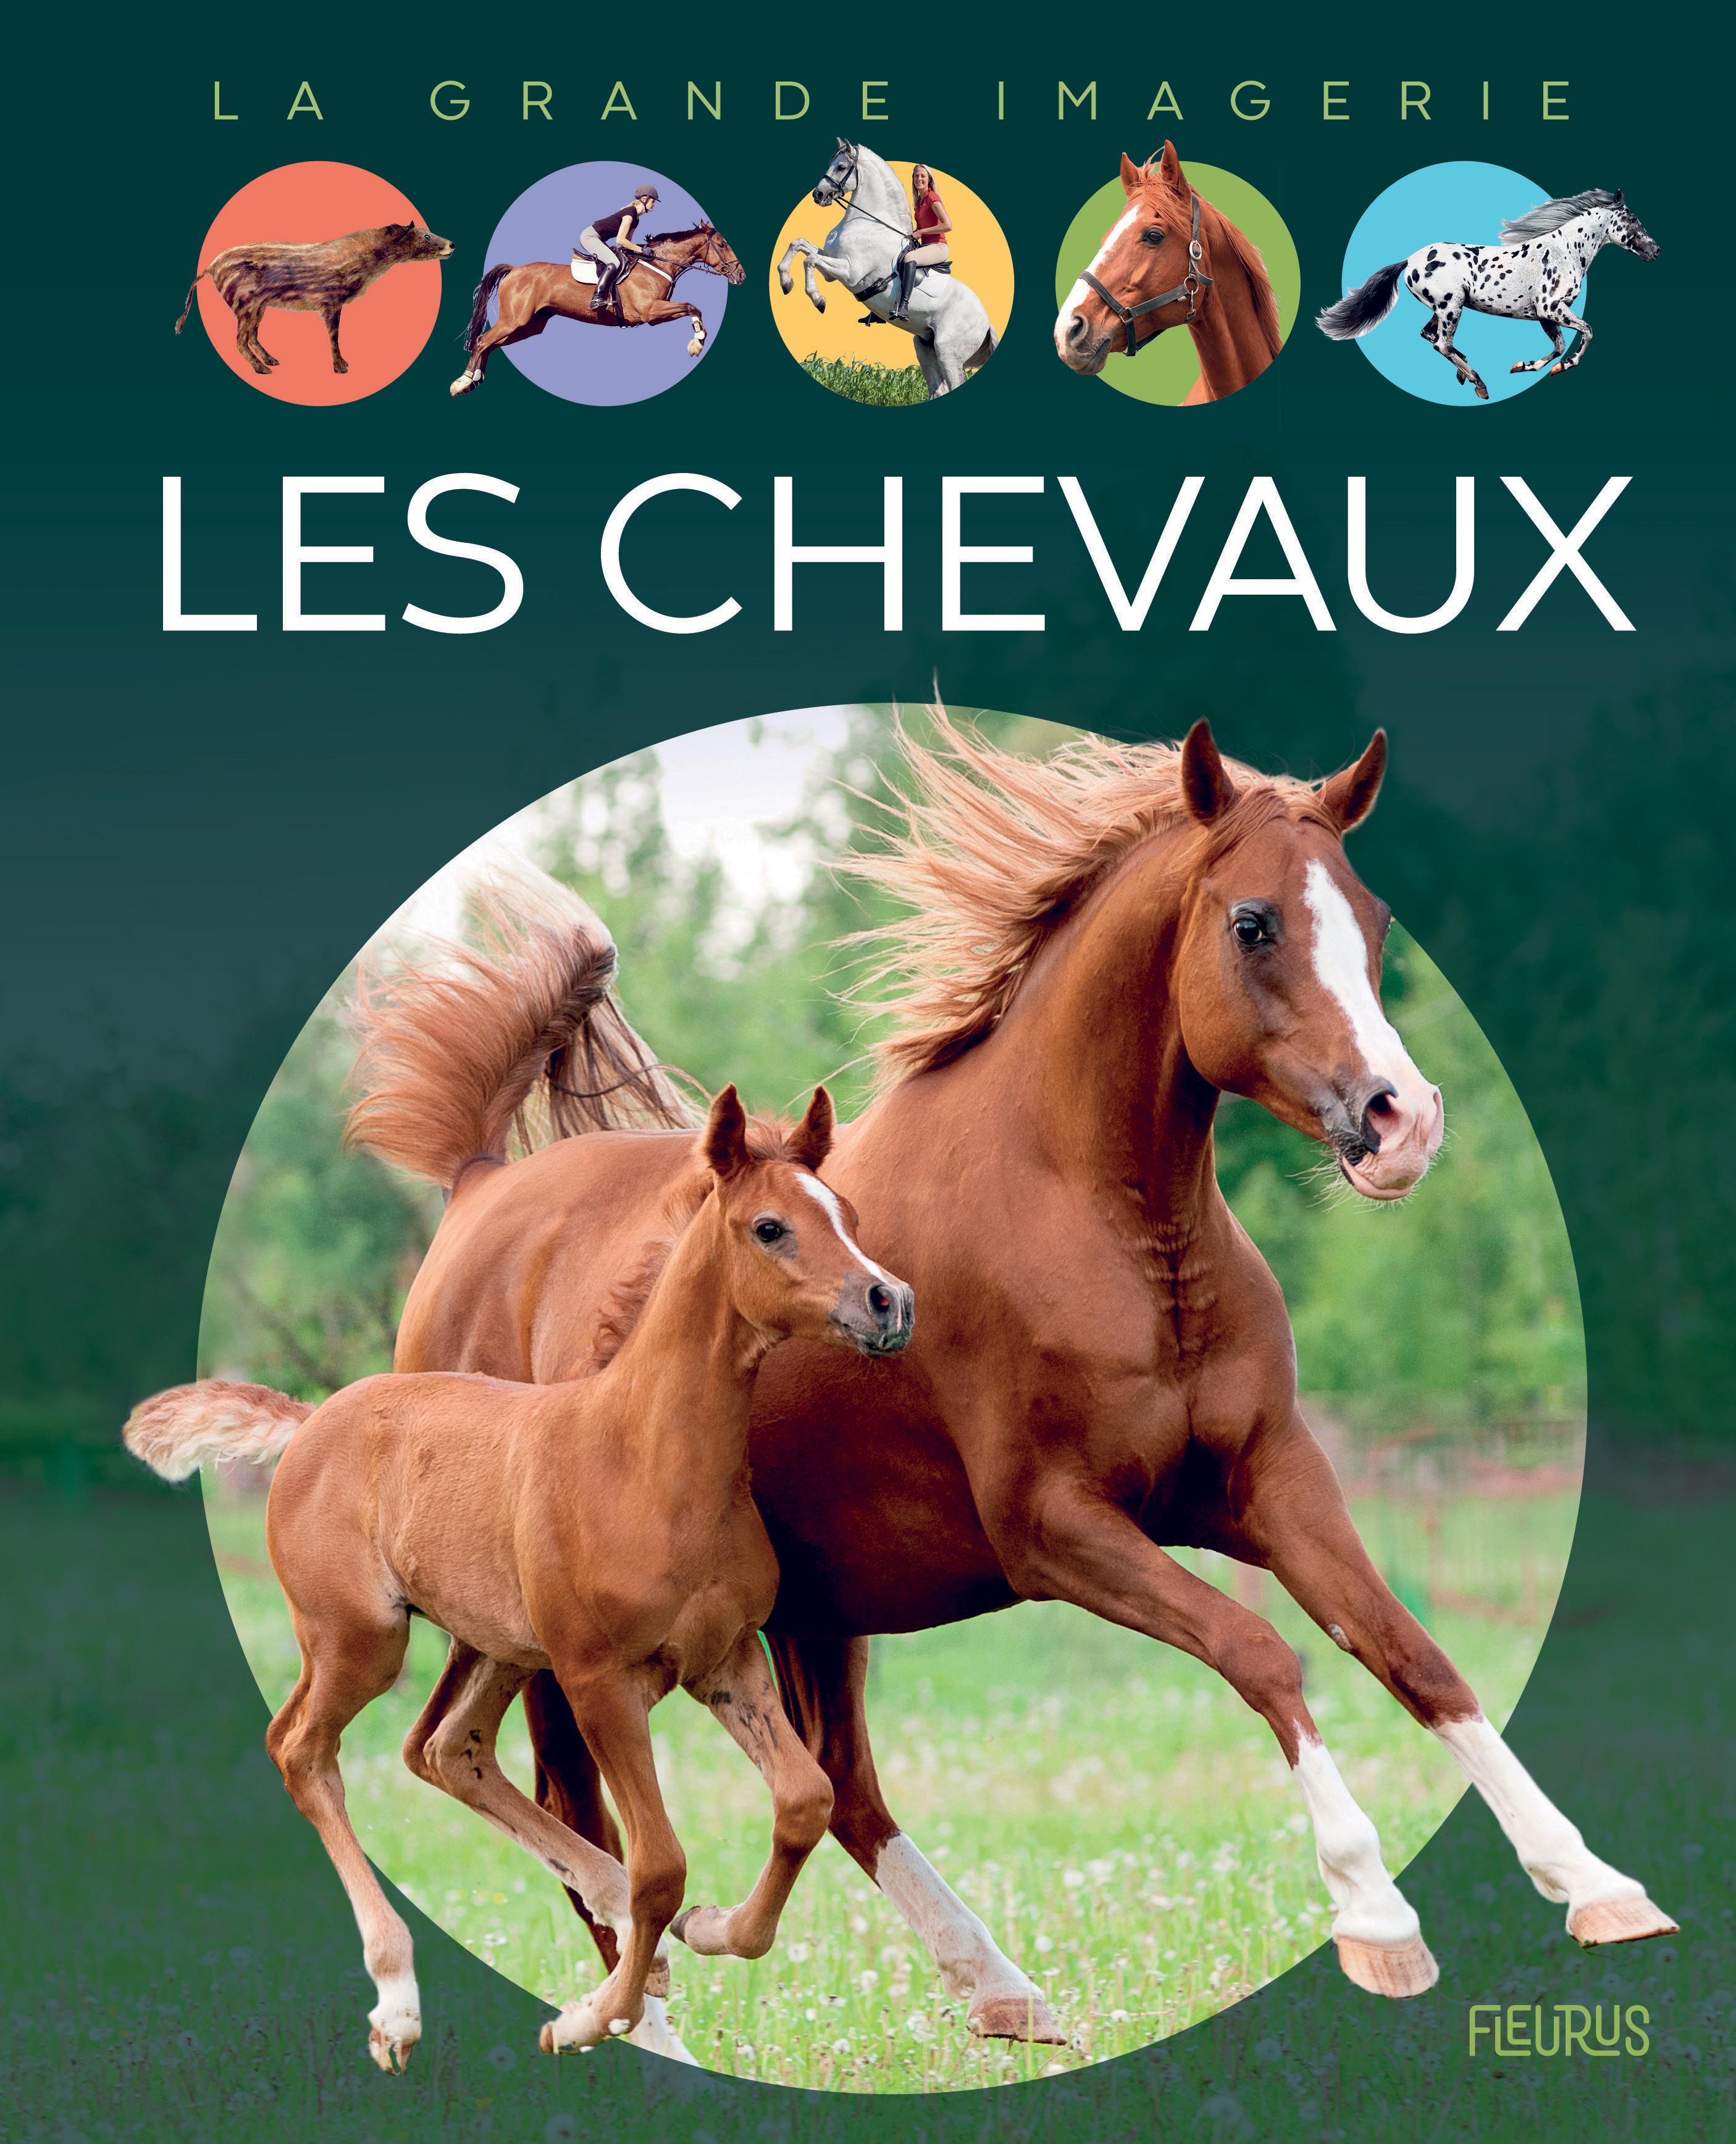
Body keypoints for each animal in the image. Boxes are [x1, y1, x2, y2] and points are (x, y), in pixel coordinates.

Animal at [124, 1085, 915, 2073]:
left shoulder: (725, 1662)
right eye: (769, 1227)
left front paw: (710, 1929)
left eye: (846, 1215)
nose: (890, 1301)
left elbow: (802, 1803)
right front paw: (584, 2018)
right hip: (363, 1640)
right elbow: (662, 1864)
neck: (645, 1461)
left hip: (498, 1645)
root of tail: (311, 1423)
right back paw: (397, 2002)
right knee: (302, 1748)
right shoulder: (599, 1680)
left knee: (445, 1748)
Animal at [352, 717, 1677, 2051]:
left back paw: (999, 1988)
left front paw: (1598, 1886)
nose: (1401, 1122)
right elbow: (1262, 1653)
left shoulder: (1270, 1481)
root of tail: (478, 1188)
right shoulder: (1056, 1527)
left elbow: (1413, 1654)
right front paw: (1376, 1920)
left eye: (1374, 917)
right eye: (1254, 922)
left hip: (815, 1598)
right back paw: (641, 2024)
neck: (1101, 1222)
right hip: (566, 1628)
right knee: (571, 1797)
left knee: (837, 1784)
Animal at [450, 222, 745, 398]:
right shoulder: (651, 312)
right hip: (515, 320)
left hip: (530, 325)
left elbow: (692, 308)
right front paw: (697, 342)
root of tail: (514, 270)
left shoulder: (656, 314)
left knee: (490, 345)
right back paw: (463, 382)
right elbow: (692, 306)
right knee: (482, 341)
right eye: (721, 245)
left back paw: (475, 380)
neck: (658, 265)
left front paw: (697, 341)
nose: (741, 275)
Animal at [775, 142, 996, 399]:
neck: (870, 223)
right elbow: (799, 245)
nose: (818, 195)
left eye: (841, 167)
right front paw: (786, 282)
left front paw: (818, 299)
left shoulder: (850, 272)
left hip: (948, 352)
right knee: (937, 389)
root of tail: (986, 321)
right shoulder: (831, 269)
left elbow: (809, 259)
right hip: (926, 347)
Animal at [1316, 189, 1659, 400]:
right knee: (1441, 343)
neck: (1566, 251)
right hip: (1451, 307)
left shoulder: (1546, 316)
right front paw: (1562, 366)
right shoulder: (1550, 309)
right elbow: (1586, 332)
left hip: (1442, 309)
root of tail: (1410, 261)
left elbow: (1559, 347)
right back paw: (1479, 383)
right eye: (1632, 218)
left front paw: (1524, 367)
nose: (1656, 250)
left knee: (1430, 336)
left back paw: (1464, 372)